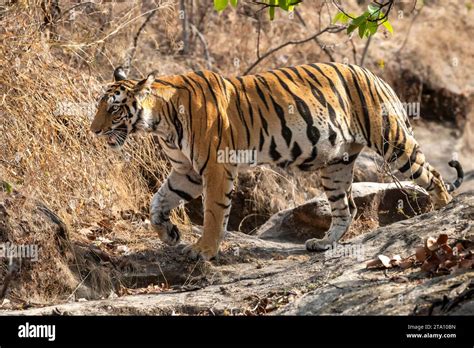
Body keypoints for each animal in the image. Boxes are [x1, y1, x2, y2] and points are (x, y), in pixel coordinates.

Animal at [90, 62, 462, 260]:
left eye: (114, 108)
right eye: (100, 106)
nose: (94, 131)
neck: (161, 121)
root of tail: (376, 75)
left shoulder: (215, 168)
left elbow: (213, 213)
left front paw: (204, 250)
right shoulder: (186, 172)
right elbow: (157, 202)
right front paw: (169, 234)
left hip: (392, 141)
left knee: (433, 176)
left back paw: (440, 217)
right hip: (336, 165)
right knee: (347, 209)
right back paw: (323, 243)